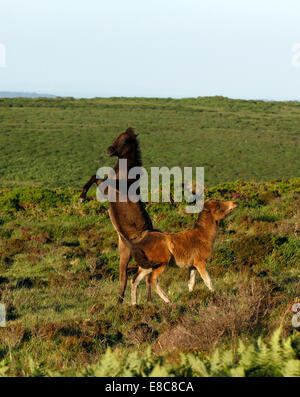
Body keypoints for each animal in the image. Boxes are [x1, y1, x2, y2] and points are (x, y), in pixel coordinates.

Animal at [79, 128, 155, 302]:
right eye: (116, 136)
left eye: (125, 140)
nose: (109, 150)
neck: (124, 176)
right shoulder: (104, 188)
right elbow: (95, 176)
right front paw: (82, 196)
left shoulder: (110, 189)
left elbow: (96, 176)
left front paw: (81, 197)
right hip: (126, 253)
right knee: (125, 277)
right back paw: (119, 301)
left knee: (147, 277)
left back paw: (147, 301)